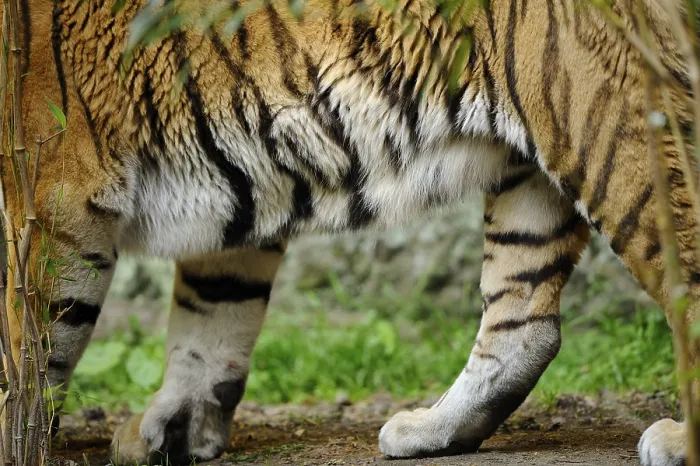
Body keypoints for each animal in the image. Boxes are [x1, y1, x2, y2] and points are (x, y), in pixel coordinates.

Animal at [3, 0, 697, 464]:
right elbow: (214, 311)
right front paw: (177, 428)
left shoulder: (50, 194)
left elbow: (33, 342)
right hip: (535, 160)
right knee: (525, 324)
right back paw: (430, 430)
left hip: (610, 119)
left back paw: (676, 438)